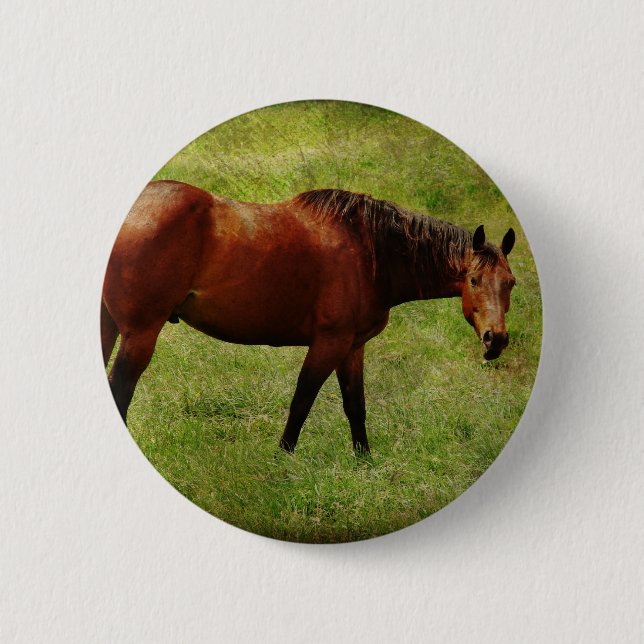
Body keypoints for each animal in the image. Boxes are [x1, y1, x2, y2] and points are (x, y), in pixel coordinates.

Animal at [102, 180, 516, 454]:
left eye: (511, 283)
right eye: (474, 280)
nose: (495, 340)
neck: (369, 251)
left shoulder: (352, 347)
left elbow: (355, 407)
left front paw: (365, 465)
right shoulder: (329, 343)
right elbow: (301, 402)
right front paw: (282, 461)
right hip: (140, 334)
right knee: (120, 390)